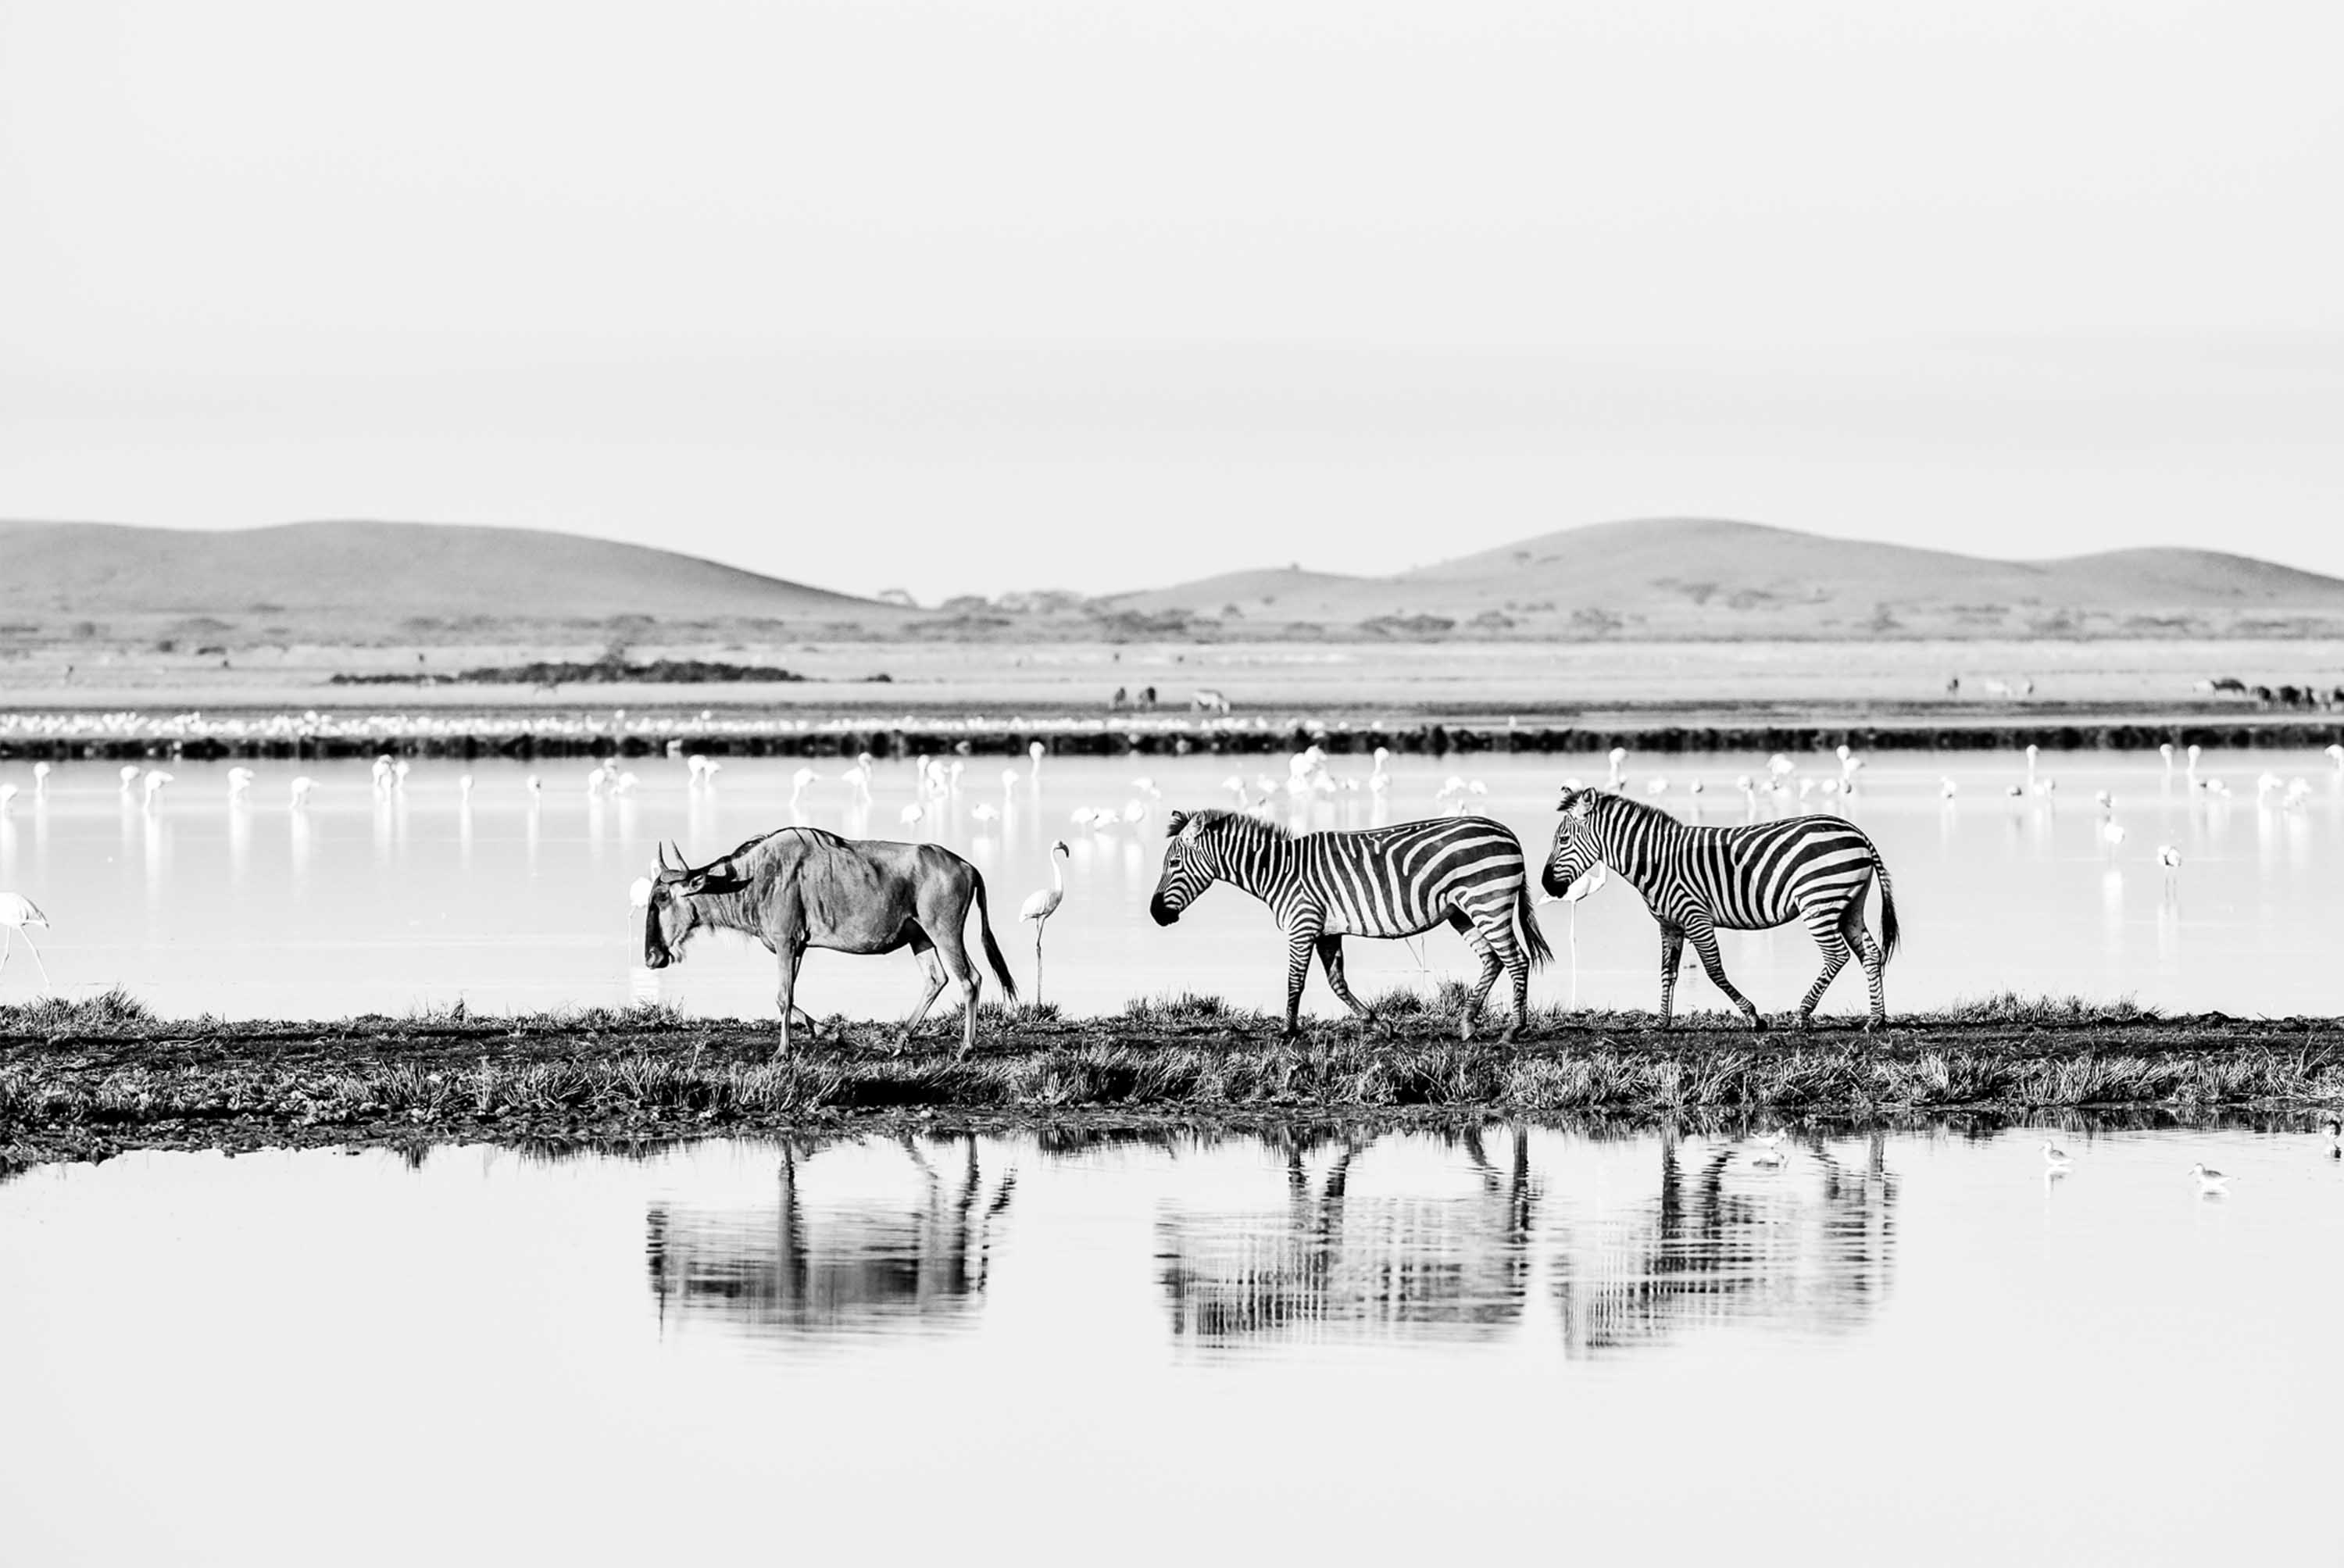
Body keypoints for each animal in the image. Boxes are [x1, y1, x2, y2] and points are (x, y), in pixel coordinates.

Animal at [1148, 809, 1553, 1041]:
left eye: (1173, 864)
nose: (1155, 914)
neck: (1277, 872)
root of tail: (1506, 831)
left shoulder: (1303, 924)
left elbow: (1295, 981)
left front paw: (1287, 1031)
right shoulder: (1327, 931)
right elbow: (1337, 983)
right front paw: (1380, 1025)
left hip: (1488, 902)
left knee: (1516, 959)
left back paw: (1513, 1030)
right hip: (1462, 911)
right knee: (1493, 959)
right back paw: (1468, 1025)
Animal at [1543, 786, 1900, 1029]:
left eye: (1563, 841)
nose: (1547, 886)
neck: (1655, 861)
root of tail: (1856, 831)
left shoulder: (1695, 916)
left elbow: (1714, 970)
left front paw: (1754, 1017)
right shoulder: (1669, 924)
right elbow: (1668, 972)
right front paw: (1661, 1022)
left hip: (1818, 901)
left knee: (1836, 956)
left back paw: (1802, 1014)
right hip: (1849, 903)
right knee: (1870, 953)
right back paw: (1876, 1020)